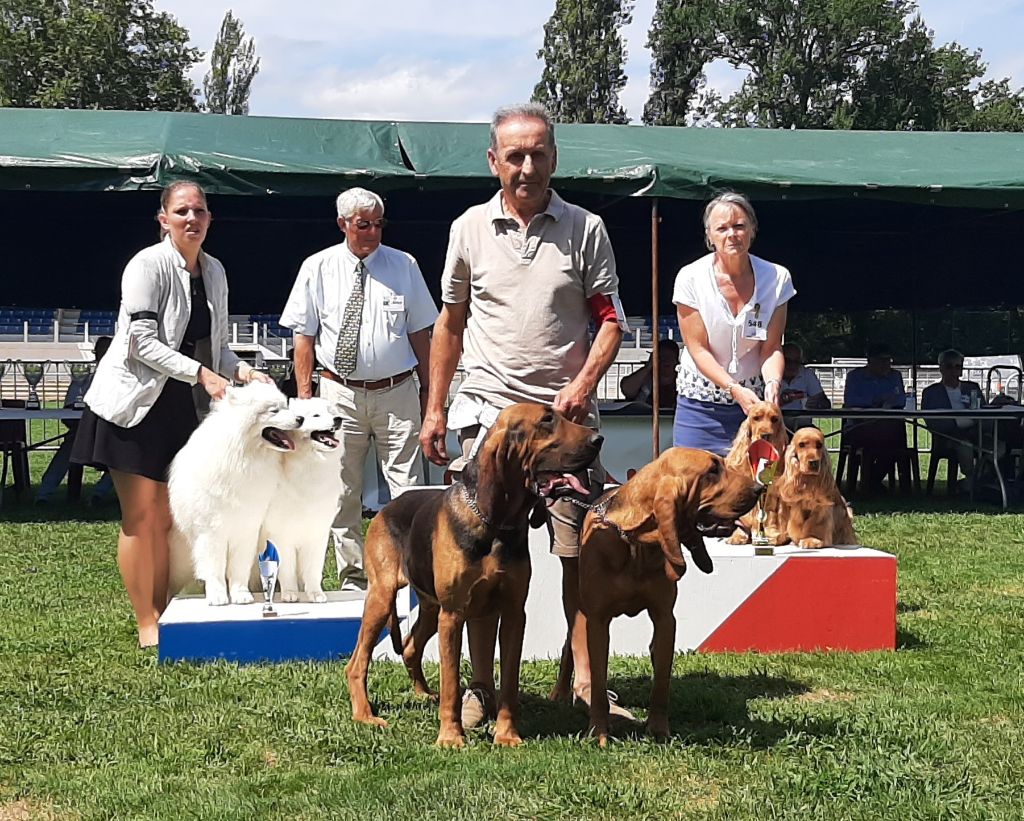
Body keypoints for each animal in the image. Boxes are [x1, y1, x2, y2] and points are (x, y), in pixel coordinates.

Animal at [167, 380, 301, 606]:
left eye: (287, 406)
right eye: (274, 410)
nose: (300, 418)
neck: (243, 457)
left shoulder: (246, 529)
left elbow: (239, 568)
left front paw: (241, 595)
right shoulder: (212, 533)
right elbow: (215, 569)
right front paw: (218, 596)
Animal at [260, 397, 344, 601]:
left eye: (331, 412)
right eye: (316, 415)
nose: (338, 419)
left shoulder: (317, 532)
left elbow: (313, 570)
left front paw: (316, 594)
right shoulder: (281, 535)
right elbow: (286, 570)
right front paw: (290, 594)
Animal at [346, 399, 598, 745]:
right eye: (547, 420)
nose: (598, 439)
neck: (496, 526)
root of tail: (387, 507)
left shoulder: (513, 612)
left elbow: (509, 681)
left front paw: (507, 735)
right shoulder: (454, 614)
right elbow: (452, 682)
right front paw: (451, 737)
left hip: (430, 608)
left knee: (410, 647)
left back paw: (423, 694)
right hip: (383, 599)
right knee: (357, 662)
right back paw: (365, 714)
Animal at [577, 444, 761, 745]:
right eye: (712, 470)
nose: (760, 488)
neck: (635, 544)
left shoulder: (665, 619)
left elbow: (661, 682)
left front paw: (658, 729)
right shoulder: (598, 622)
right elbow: (599, 683)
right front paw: (599, 732)